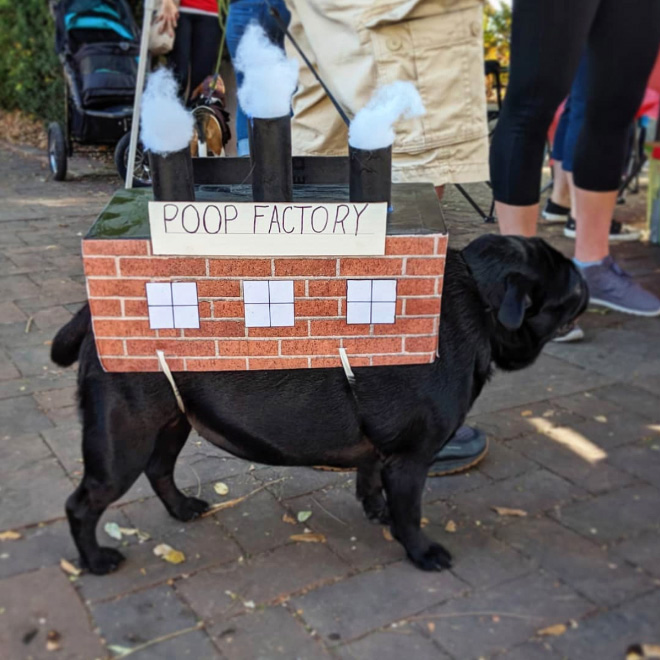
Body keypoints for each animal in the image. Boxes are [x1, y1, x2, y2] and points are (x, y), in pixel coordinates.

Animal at [52, 236, 588, 572]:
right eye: (572, 289)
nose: (588, 284)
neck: (478, 302)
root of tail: (93, 312)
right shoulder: (412, 460)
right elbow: (411, 512)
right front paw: (420, 551)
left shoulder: (380, 455)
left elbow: (370, 480)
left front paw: (377, 512)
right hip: (123, 441)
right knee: (82, 505)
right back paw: (95, 562)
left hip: (170, 423)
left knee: (160, 470)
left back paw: (183, 509)